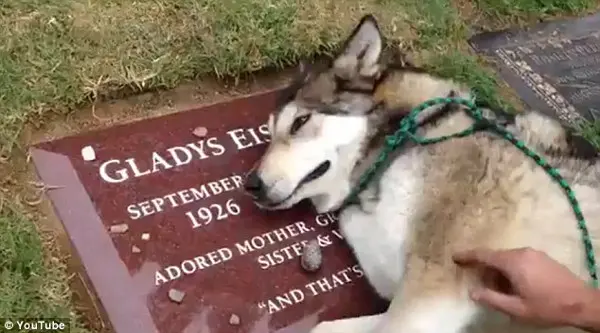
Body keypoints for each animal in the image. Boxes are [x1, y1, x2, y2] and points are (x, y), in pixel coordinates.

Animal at [243, 13, 600, 332]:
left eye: (300, 122)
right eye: (268, 134)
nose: (250, 184)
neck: (406, 136)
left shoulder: (431, 291)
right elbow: (324, 325)